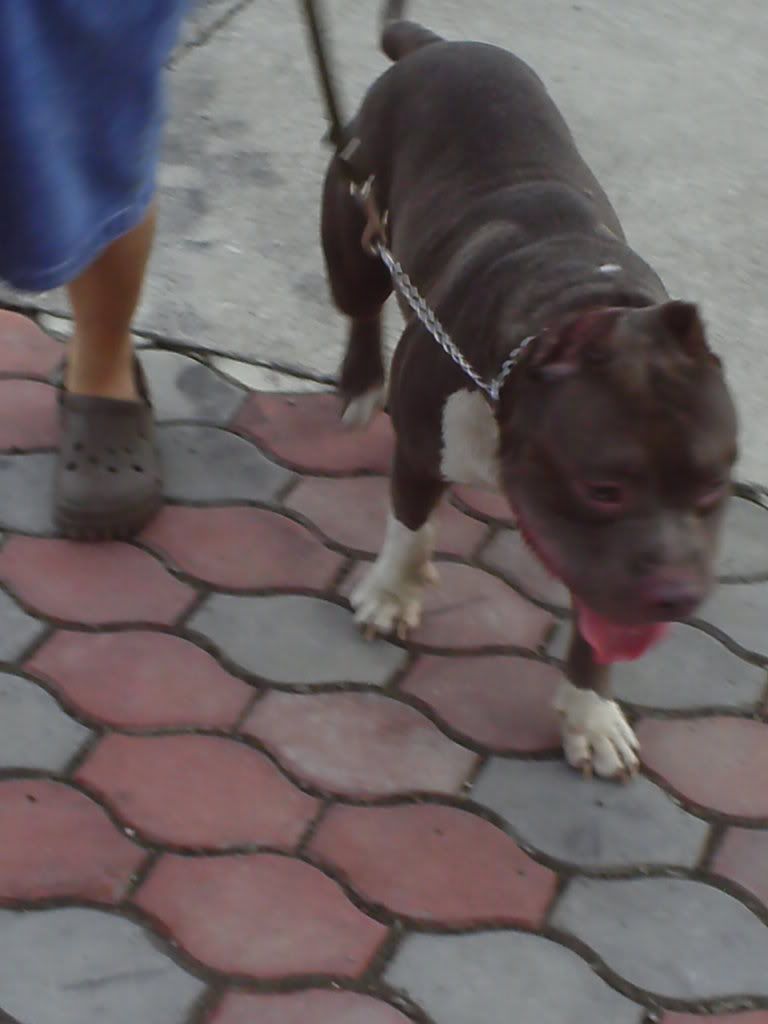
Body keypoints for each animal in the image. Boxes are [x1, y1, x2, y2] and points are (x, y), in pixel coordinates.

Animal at [320, 1, 738, 779]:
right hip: (352, 227)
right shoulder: (419, 445)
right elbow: (409, 527)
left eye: (714, 489)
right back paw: (359, 384)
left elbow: (597, 628)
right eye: (603, 489)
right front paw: (392, 594)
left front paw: (591, 715)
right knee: (361, 299)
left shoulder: (603, 567)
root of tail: (435, 47)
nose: (676, 593)